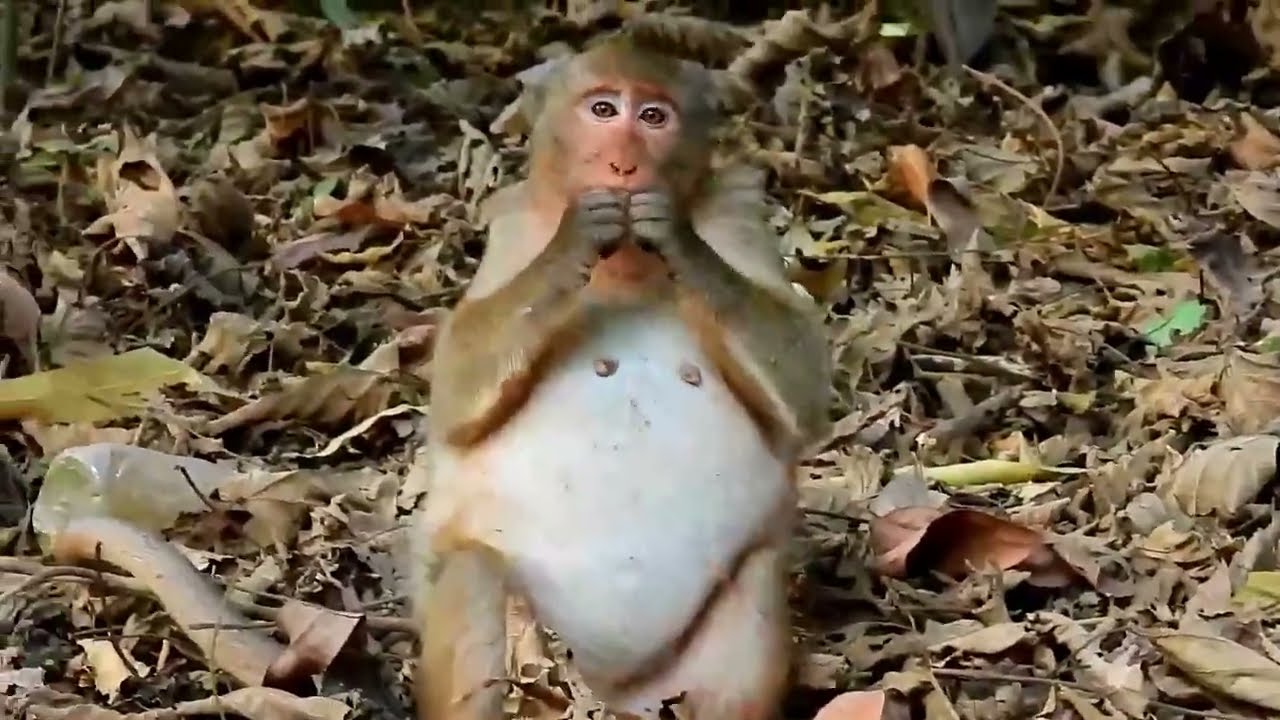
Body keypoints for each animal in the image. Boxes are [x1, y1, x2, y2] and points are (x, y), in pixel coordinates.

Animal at [413, 34, 832, 720]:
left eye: (653, 117)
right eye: (604, 109)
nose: (624, 163)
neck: (626, 268)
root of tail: (609, 692)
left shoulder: (737, 216)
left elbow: (802, 388)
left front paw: (678, 238)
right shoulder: (514, 227)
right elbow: (454, 395)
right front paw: (574, 240)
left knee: (758, 576)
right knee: (474, 572)